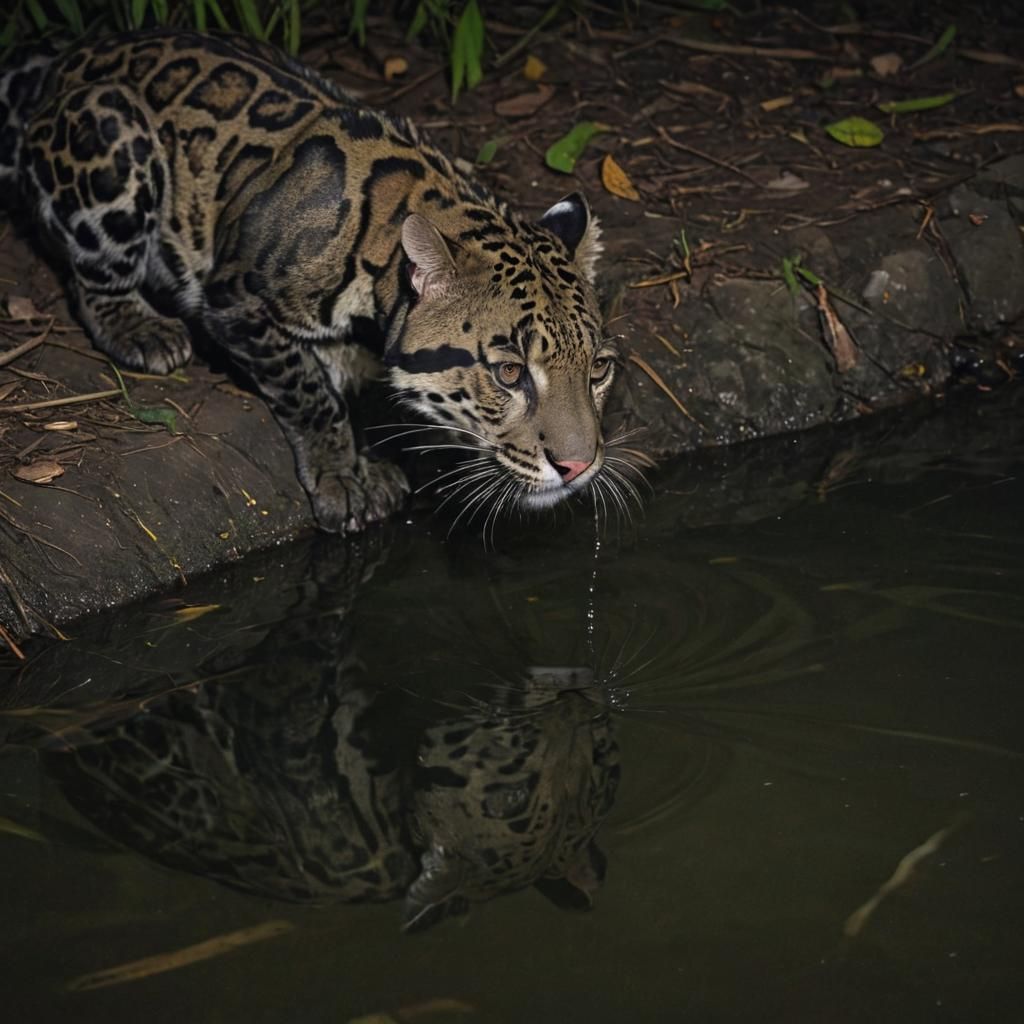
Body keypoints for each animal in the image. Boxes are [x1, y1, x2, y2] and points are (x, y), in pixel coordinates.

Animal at [0, 30, 621, 532]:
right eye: (509, 373)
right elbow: (308, 390)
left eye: (599, 369)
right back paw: (141, 329)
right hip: (113, 133)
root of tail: (64, 60)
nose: (577, 466)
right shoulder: (233, 299)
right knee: (95, 281)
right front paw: (341, 475)